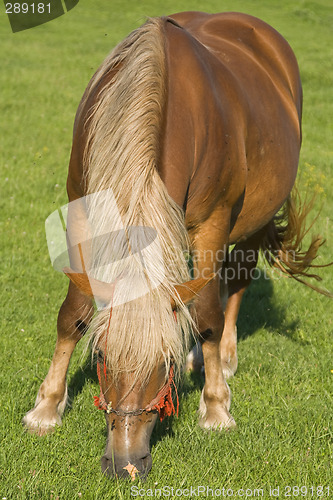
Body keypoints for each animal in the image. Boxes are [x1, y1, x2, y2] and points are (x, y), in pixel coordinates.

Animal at [21, 11, 330, 480]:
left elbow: (207, 315)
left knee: (234, 282)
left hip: (250, 222)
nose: (126, 464)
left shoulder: (212, 223)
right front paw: (47, 407)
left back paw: (224, 357)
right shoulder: (80, 208)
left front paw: (216, 408)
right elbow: (74, 314)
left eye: (164, 365)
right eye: (102, 356)